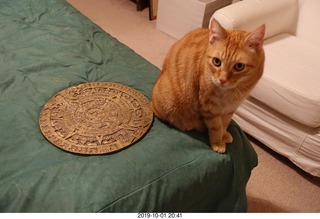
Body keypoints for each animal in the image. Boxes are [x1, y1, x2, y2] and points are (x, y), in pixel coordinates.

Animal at [151, 18, 266, 153]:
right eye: (217, 61)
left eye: (239, 66)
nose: (222, 80)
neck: (231, 93)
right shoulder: (210, 107)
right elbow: (216, 127)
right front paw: (218, 142)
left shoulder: (231, 108)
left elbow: (224, 123)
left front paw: (224, 135)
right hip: (166, 103)